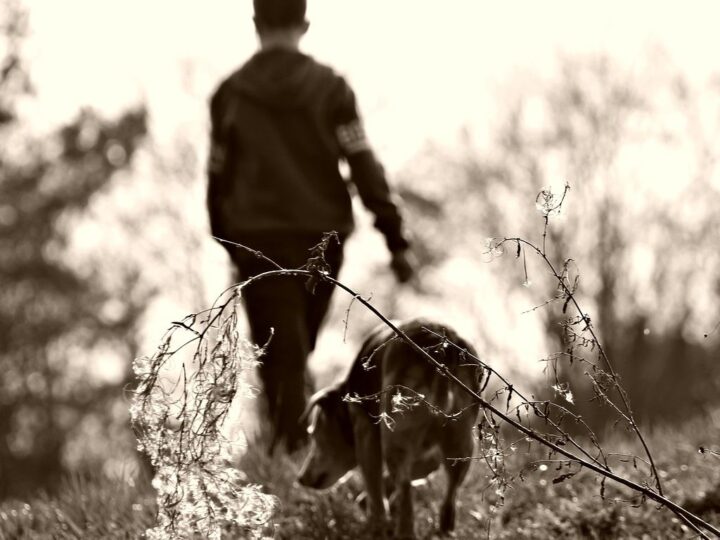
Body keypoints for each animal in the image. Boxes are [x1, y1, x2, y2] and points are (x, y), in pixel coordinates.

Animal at [296, 318, 480, 536]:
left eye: (314, 434)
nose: (300, 478)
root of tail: (444, 350)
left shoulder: (366, 433)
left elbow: (374, 484)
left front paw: (376, 523)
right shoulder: (432, 453)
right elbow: (419, 470)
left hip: (395, 434)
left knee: (405, 487)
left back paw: (403, 530)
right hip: (461, 443)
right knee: (449, 494)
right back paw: (444, 529)